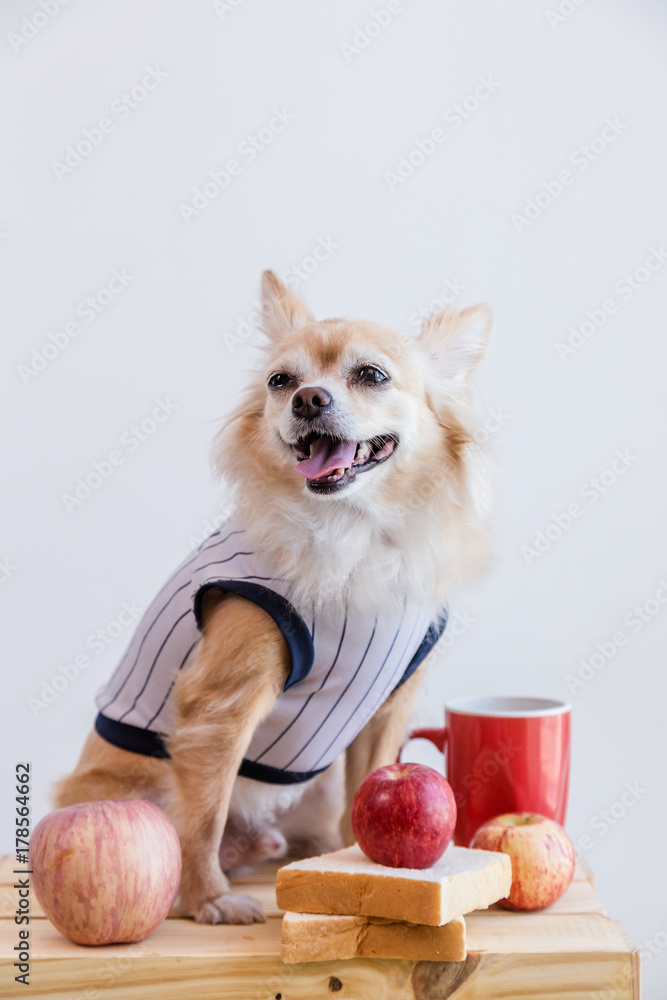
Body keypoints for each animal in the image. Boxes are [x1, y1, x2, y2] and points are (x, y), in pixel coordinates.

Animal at [54, 272, 494, 920]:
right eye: (279, 382)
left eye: (372, 375)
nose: (307, 399)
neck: (357, 532)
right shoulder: (219, 706)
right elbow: (202, 819)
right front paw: (208, 899)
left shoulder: (387, 708)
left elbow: (370, 788)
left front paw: (361, 869)